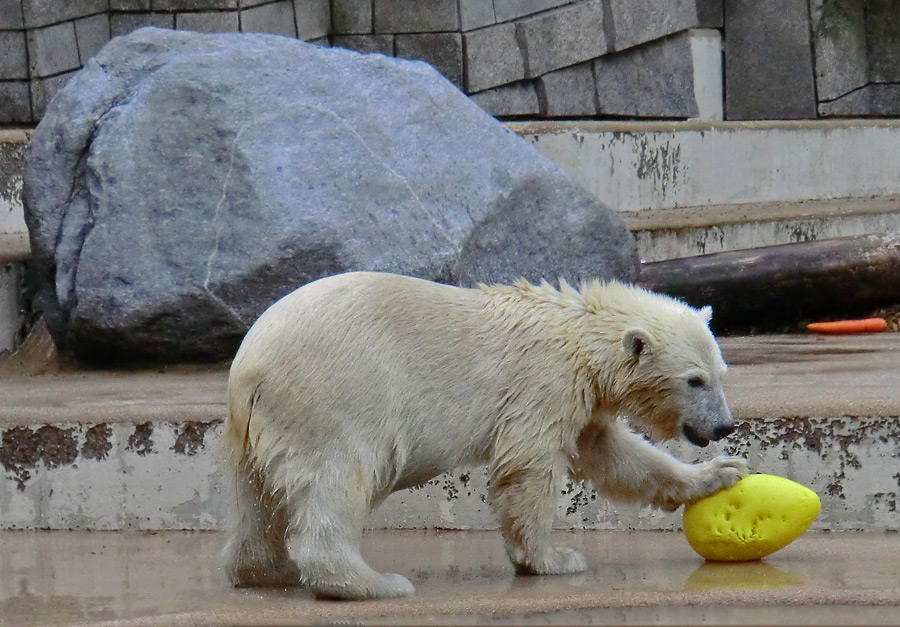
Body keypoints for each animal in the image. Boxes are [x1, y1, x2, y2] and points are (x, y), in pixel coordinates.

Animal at [221, 272, 748, 600]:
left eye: (722, 374)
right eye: (694, 380)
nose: (724, 426)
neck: (578, 331)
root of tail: (250, 366)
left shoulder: (581, 401)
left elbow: (614, 455)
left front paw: (722, 471)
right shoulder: (544, 382)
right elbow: (530, 466)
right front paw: (553, 558)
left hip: (255, 429)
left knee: (258, 498)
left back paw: (266, 570)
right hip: (335, 396)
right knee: (337, 481)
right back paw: (371, 583)